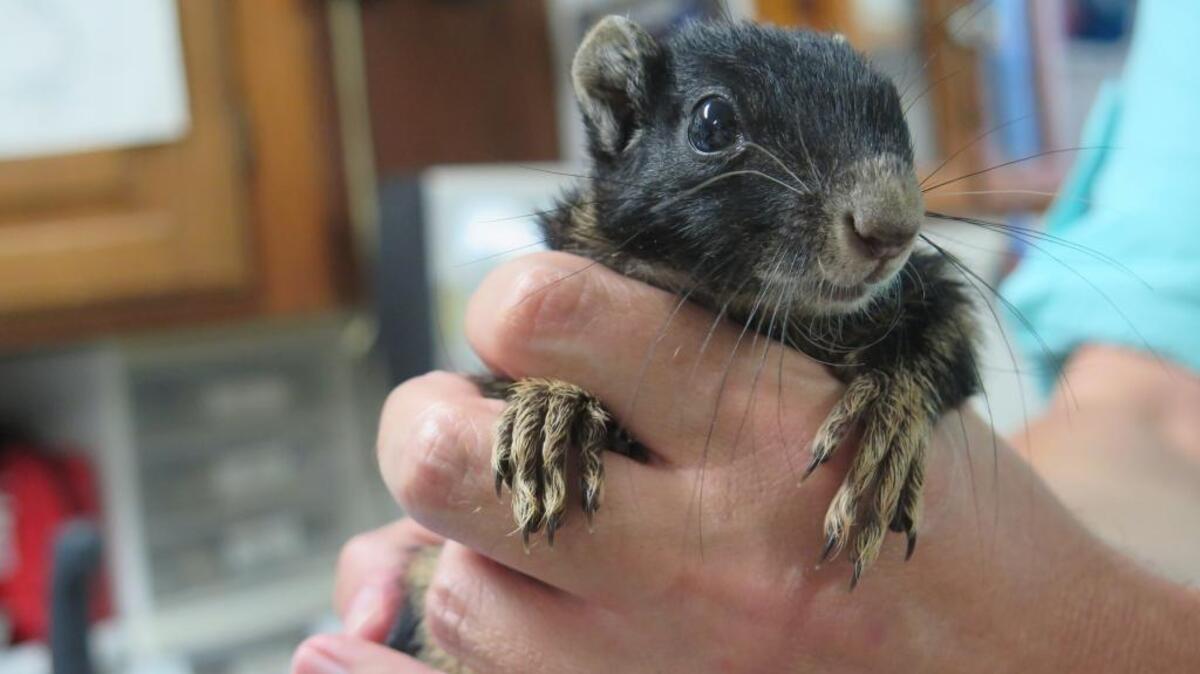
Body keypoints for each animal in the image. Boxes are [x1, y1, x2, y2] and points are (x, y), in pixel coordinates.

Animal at [393, 17, 980, 670]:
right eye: (712, 122)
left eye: (892, 109)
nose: (893, 227)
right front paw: (551, 402)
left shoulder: (926, 293)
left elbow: (948, 337)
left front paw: (891, 413)